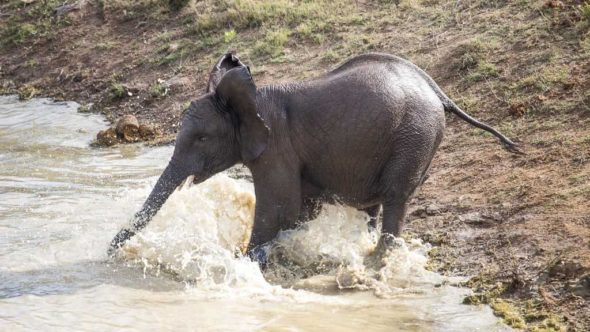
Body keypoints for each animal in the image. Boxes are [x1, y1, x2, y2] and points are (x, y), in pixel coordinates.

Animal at [107, 52, 524, 264]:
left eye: (202, 139)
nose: (109, 252)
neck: (252, 99)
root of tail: (438, 91)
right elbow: (298, 212)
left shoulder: (276, 149)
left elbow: (278, 210)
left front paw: (246, 262)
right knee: (376, 205)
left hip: (415, 137)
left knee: (395, 199)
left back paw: (376, 261)